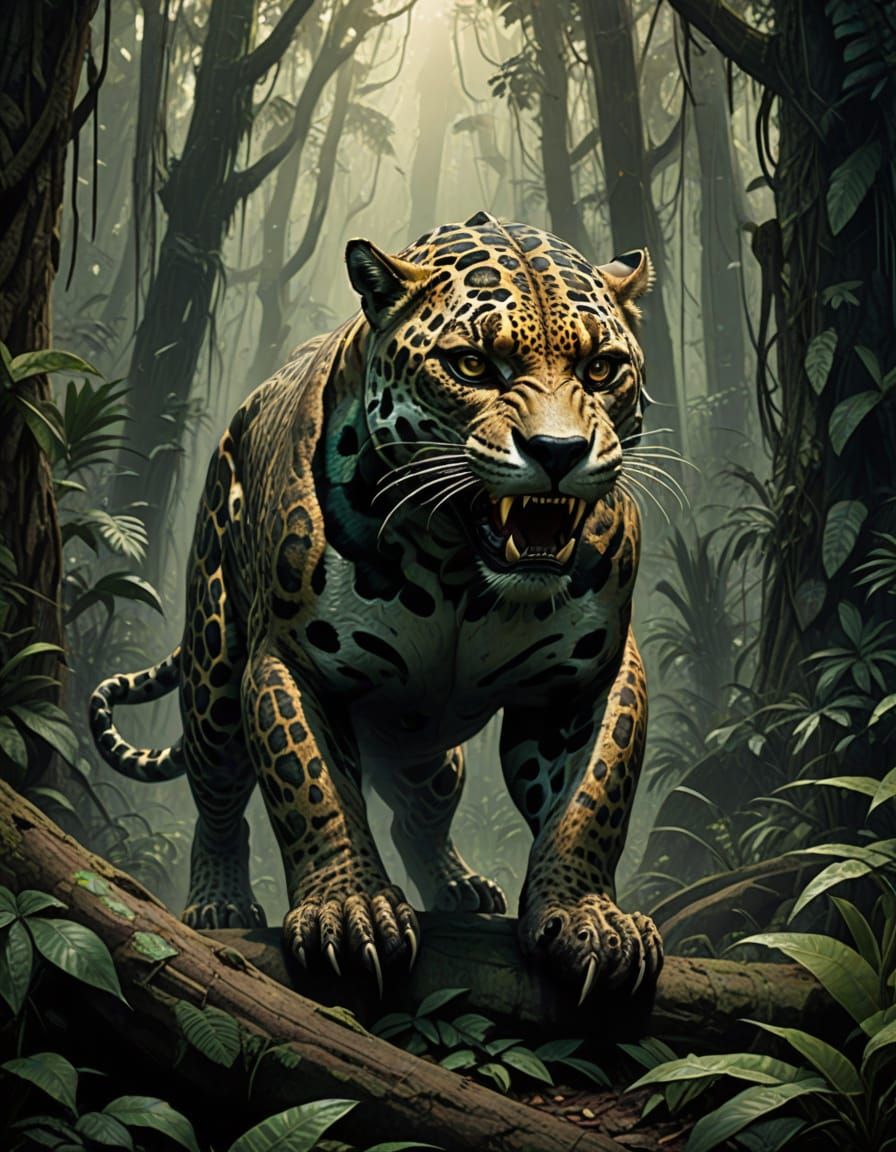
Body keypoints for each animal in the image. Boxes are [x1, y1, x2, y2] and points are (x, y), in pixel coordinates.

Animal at [89, 212, 663, 1007]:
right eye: (472, 366)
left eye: (602, 369)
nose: (558, 450)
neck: (459, 566)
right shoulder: (290, 663)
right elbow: (313, 788)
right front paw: (348, 907)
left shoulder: (588, 681)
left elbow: (592, 800)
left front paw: (589, 918)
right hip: (213, 672)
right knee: (220, 793)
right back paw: (218, 900)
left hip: (429, 751)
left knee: (423, 809)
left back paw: (459, 886)